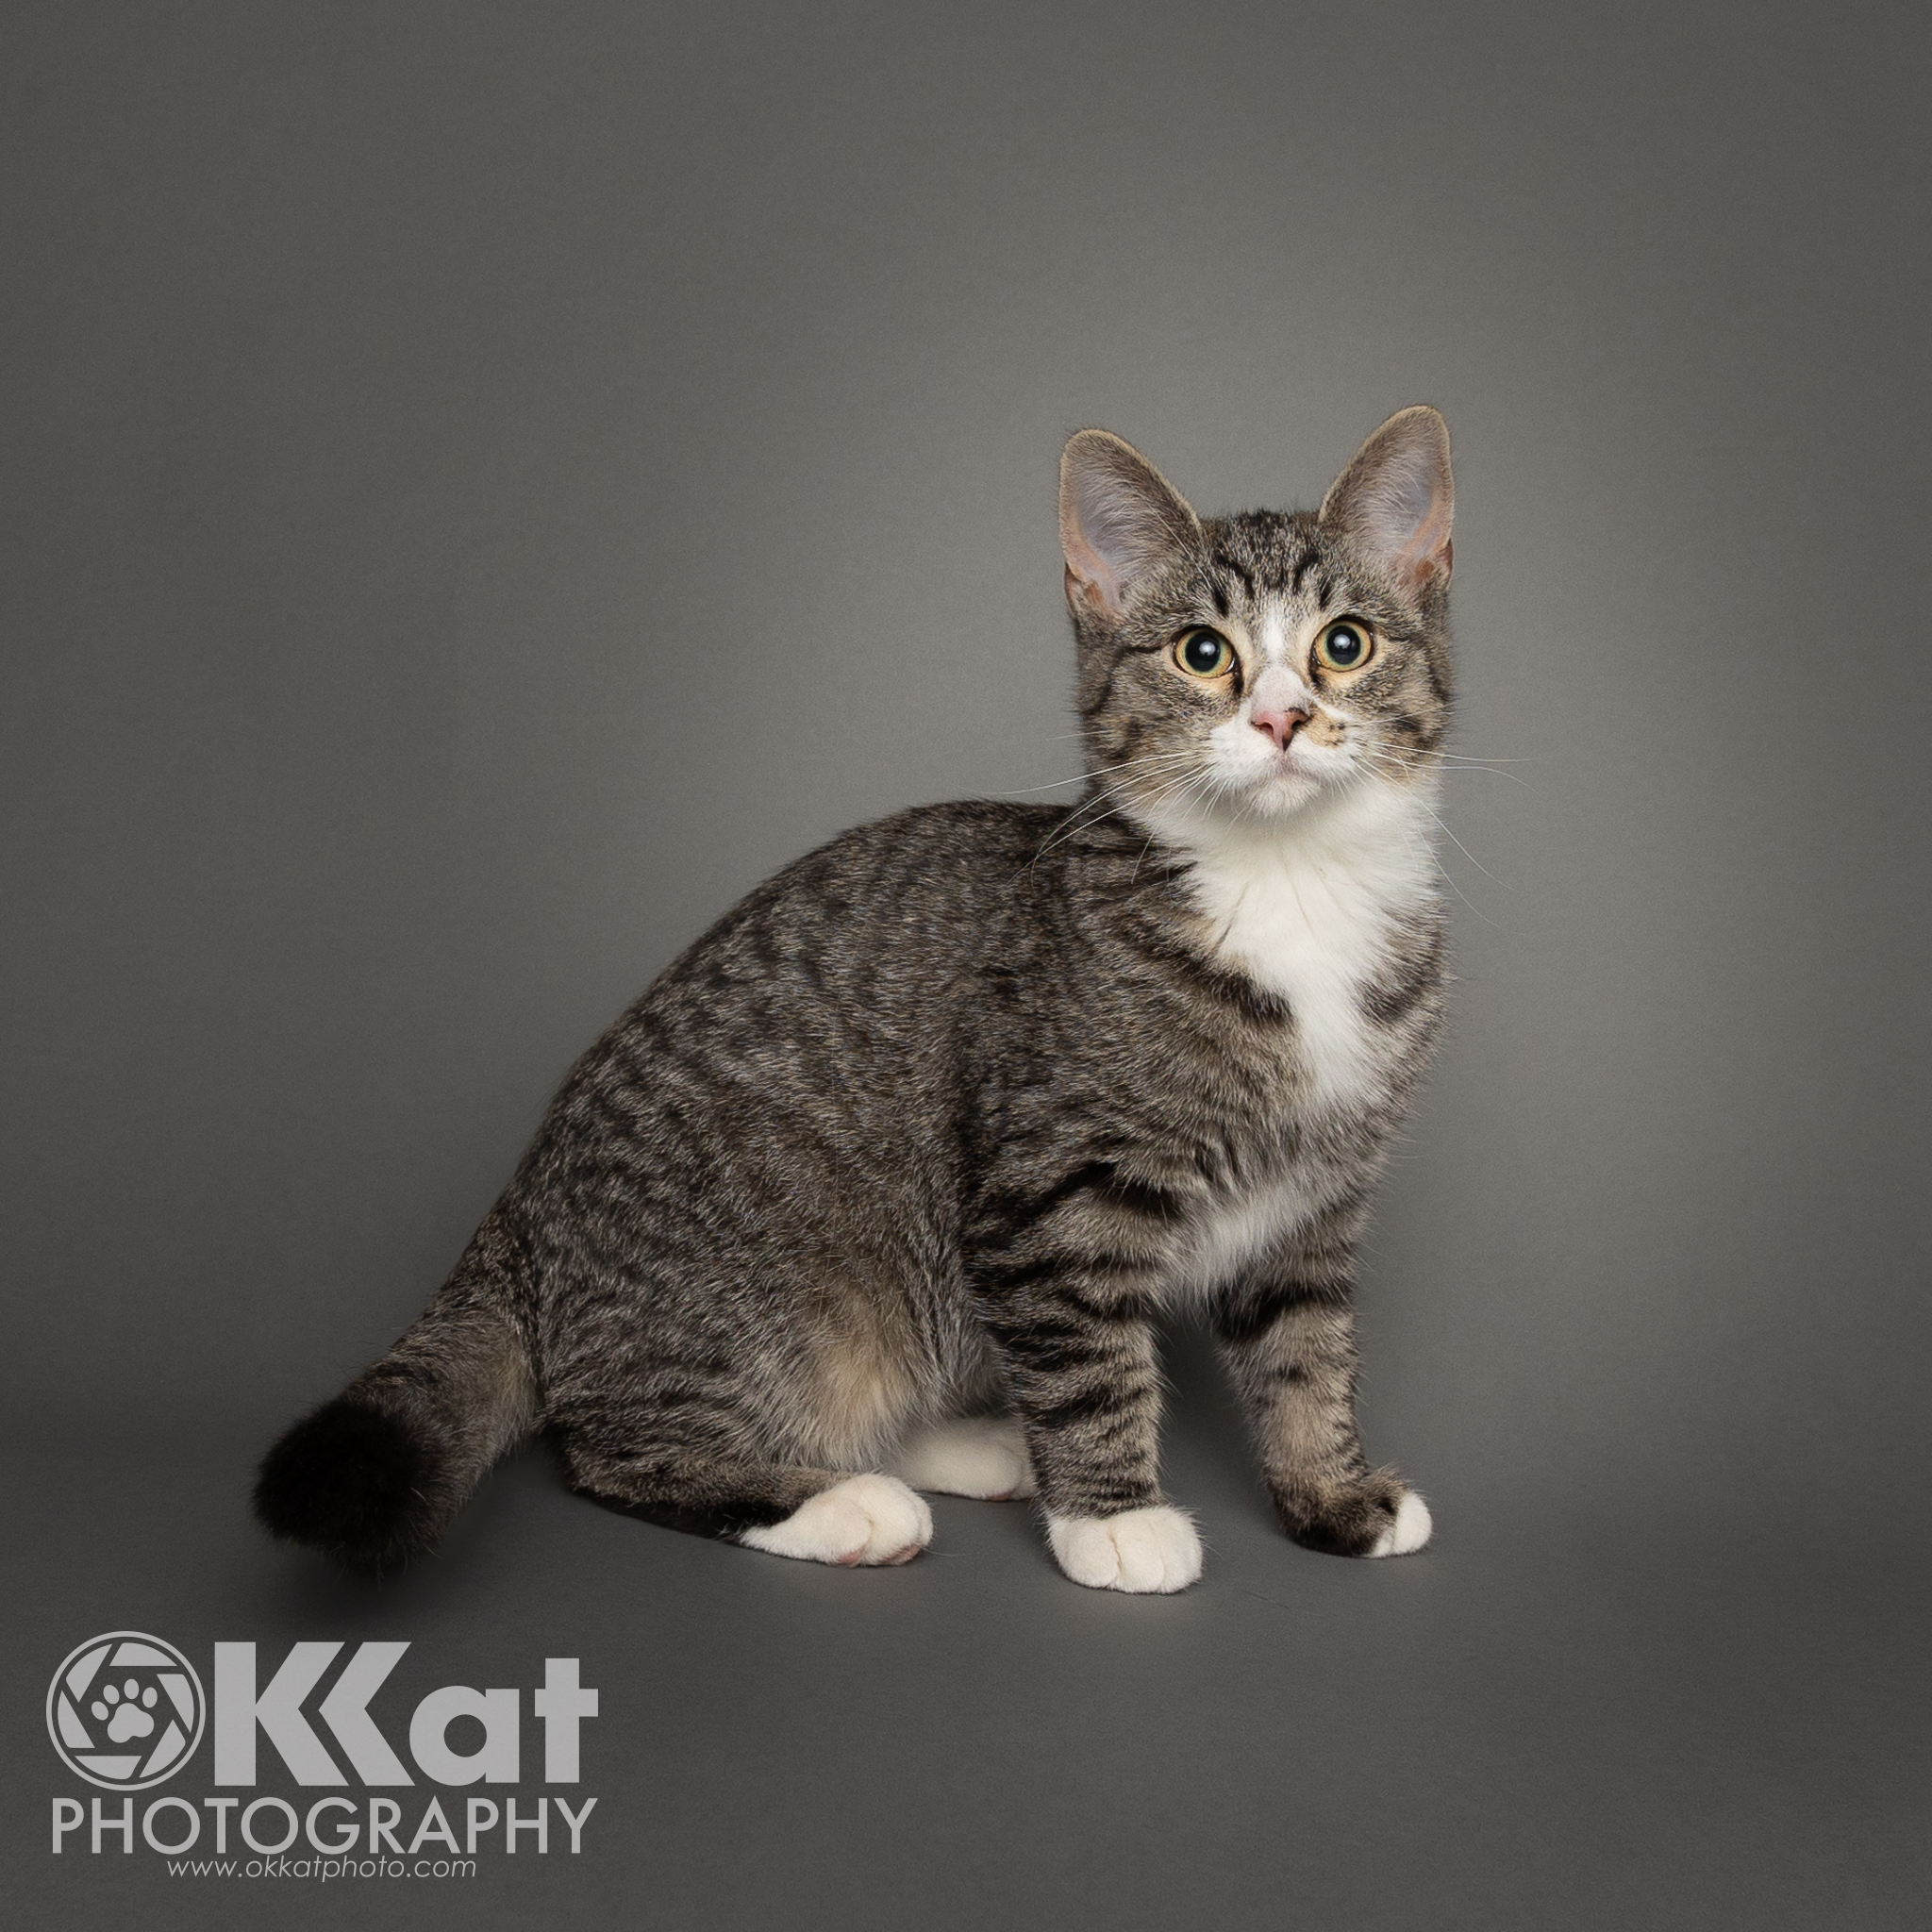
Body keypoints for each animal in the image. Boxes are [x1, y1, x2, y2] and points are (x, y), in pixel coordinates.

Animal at [253, 399, 1453, 1591]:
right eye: (1202, 654)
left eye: (1342, 644)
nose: (1281, 718)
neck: (1284, 886)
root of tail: (524, 1203)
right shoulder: (1050, 1188)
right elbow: (1084, 1356)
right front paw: (1112, 1518)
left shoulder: (1311, 1205)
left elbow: (1306, 1352)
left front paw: (1329, 1494)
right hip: (777, 1292)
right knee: (612, 1446)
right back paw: (835, 1502)